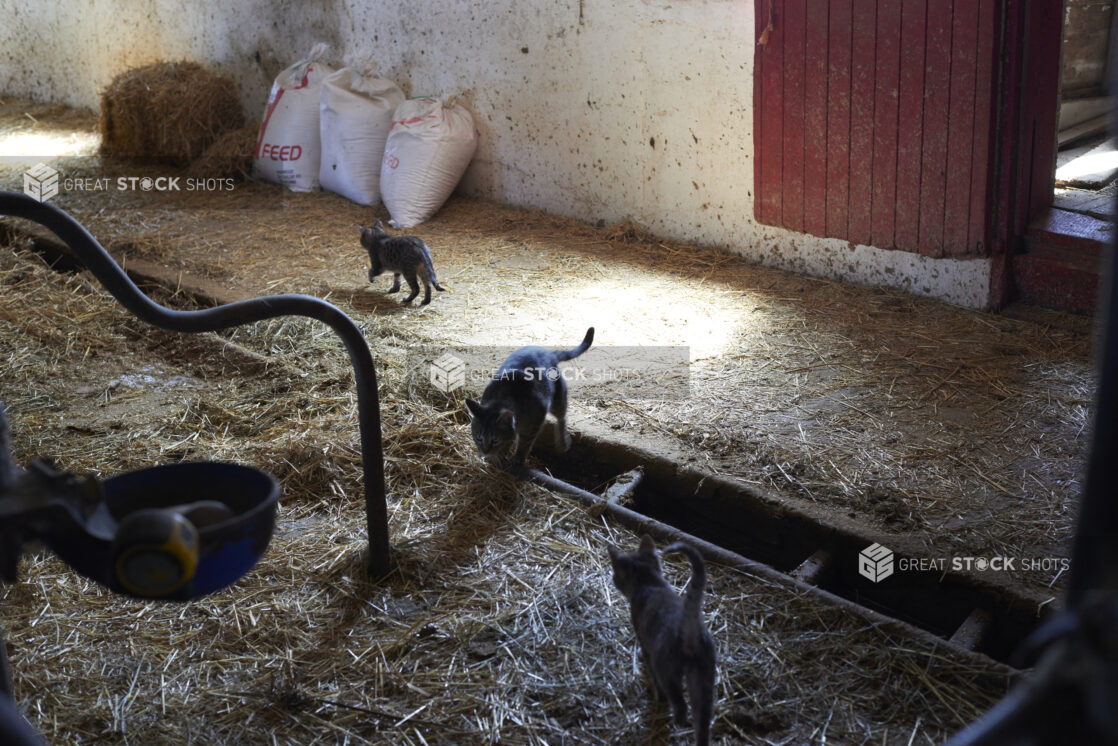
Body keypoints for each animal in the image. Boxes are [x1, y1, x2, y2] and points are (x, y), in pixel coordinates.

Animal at [465, 324, 594, 469]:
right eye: (478, 438)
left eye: (495, 440)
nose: (484, 451)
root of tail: (549, 352)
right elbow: (511, 439)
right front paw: (499, 455)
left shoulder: (534, 424)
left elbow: (524, 444)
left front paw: (517, 459)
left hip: (558, 398)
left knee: (561, 417)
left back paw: (562, 443)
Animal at [612, 536, 715, 746]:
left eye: (616, 574)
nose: (613, 580)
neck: (651, 583)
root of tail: (688, 628)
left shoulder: (645, 645)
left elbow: (651, 673)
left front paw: (658, 699)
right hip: (704, 678)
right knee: (703, 722)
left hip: (668, 671)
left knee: (680, 704)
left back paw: (678, 721)